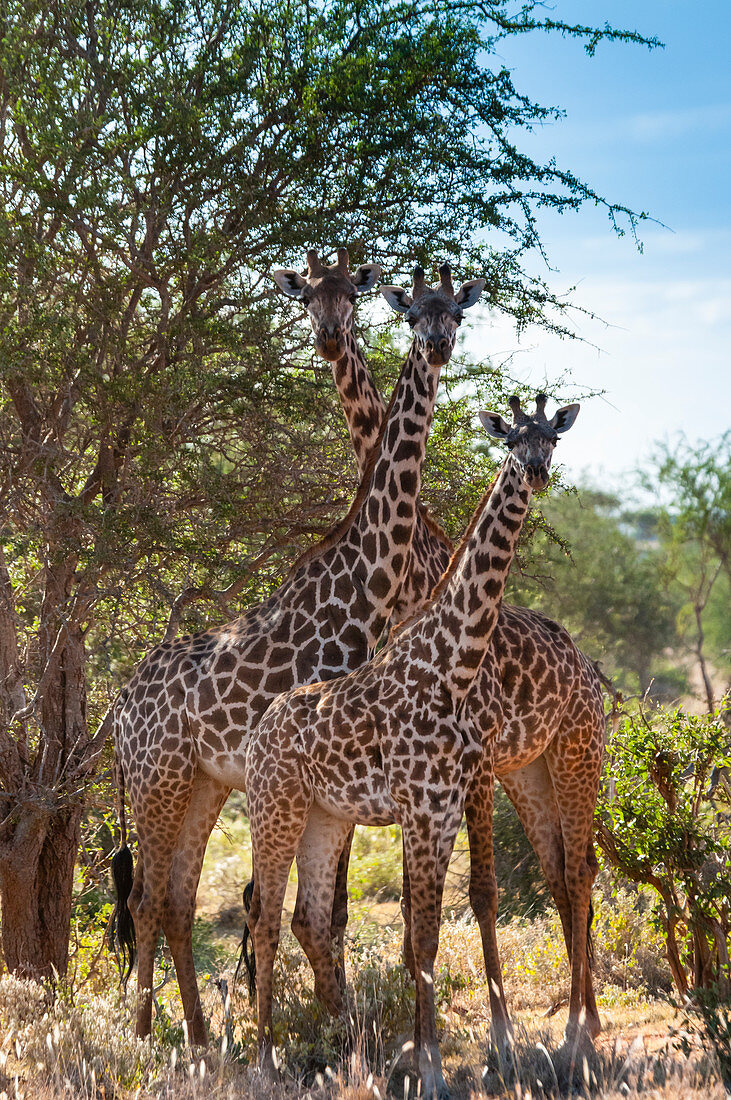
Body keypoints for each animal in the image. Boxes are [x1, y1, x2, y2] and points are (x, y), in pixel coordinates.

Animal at [109, 261, 483, 1042]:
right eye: (412, 315)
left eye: (457, 313)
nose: (436, 347)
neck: (366, 584)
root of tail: (118, 706)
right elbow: (307, 906)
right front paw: (317, 1021)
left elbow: (313, 906)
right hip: (158, 780)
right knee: (144, 899)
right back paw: (146, 1034)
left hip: (201, 784)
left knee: (174, 898)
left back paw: (197, 1035)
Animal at [245, 391, 580, 1095]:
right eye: (512, 439)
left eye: (553, 439)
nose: (536, 474)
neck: (453, 665)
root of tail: (261, 727)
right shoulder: (422, 809)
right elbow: (423, 936)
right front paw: (430, 1071)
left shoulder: (444, 806)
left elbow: (428, 930)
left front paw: (430, 1061)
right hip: (275, 808)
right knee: (263, 917)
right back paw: (264, 1062)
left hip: (324, 817)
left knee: (306, 915)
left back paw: (340, 1049)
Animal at [273, 251, 602, 1038]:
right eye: (308, 298)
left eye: (455, 311)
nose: (330, 338)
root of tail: (587, 668)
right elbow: (399, 899)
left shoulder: (467, 762)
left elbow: (476, 891)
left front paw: (493, 1031)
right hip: (528, 770)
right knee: (559, 868)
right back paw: (580, 1015)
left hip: (573, 754)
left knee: (581, 867)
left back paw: (587, 1020)